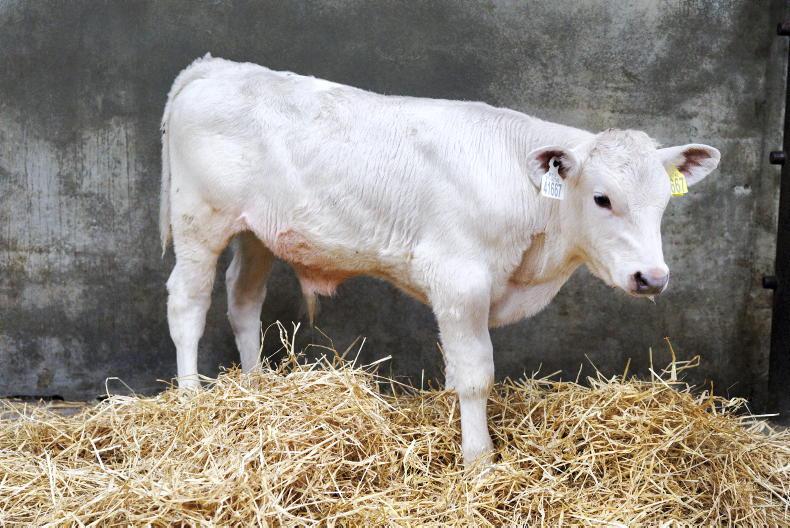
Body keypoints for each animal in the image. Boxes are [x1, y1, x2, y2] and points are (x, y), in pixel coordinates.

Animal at [159, 55, 720, 465]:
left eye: (664, 202)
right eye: (603, 198)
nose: (652, 277)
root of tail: (217, 67)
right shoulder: (459, 281)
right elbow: (475, 374)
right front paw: (480, 460)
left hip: (255, 231)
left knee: (242, 300)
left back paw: (254, 388)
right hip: (198, 221)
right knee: (187, 305)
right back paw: (189, 401)